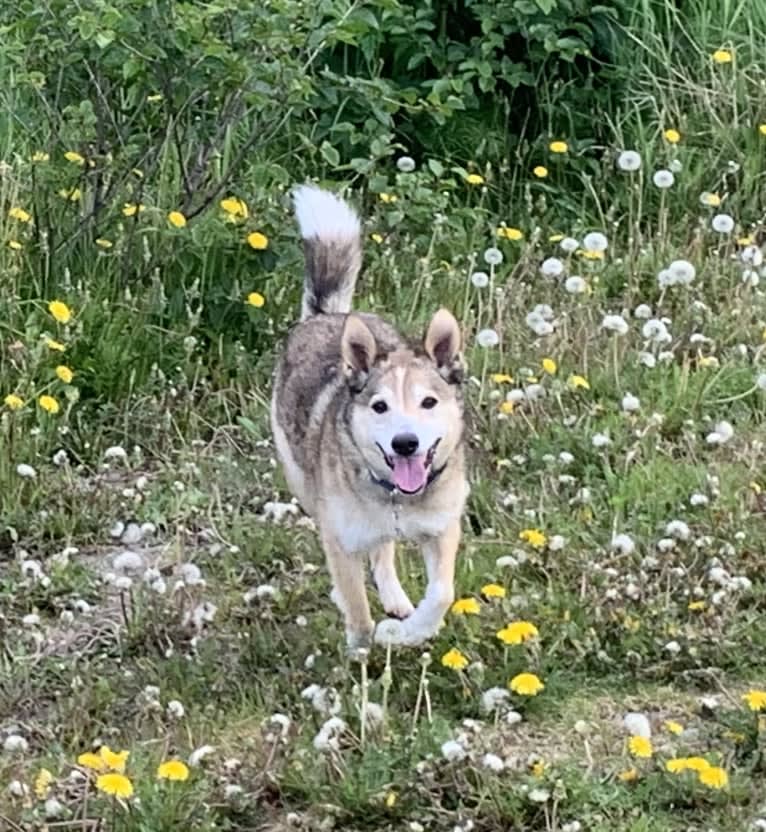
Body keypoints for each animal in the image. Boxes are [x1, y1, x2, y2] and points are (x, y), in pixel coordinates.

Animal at [272, 187, 472, 648]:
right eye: (379, 406)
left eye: (428, 402)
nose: (405, 443)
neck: (399, 498)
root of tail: (327, 316)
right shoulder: (340, 539)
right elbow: (358, 611)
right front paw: (363, 651)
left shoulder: (442, 529)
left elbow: (442, 593)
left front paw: (409, 633)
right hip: (302, 481)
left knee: (384, 554)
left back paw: (396, 600)